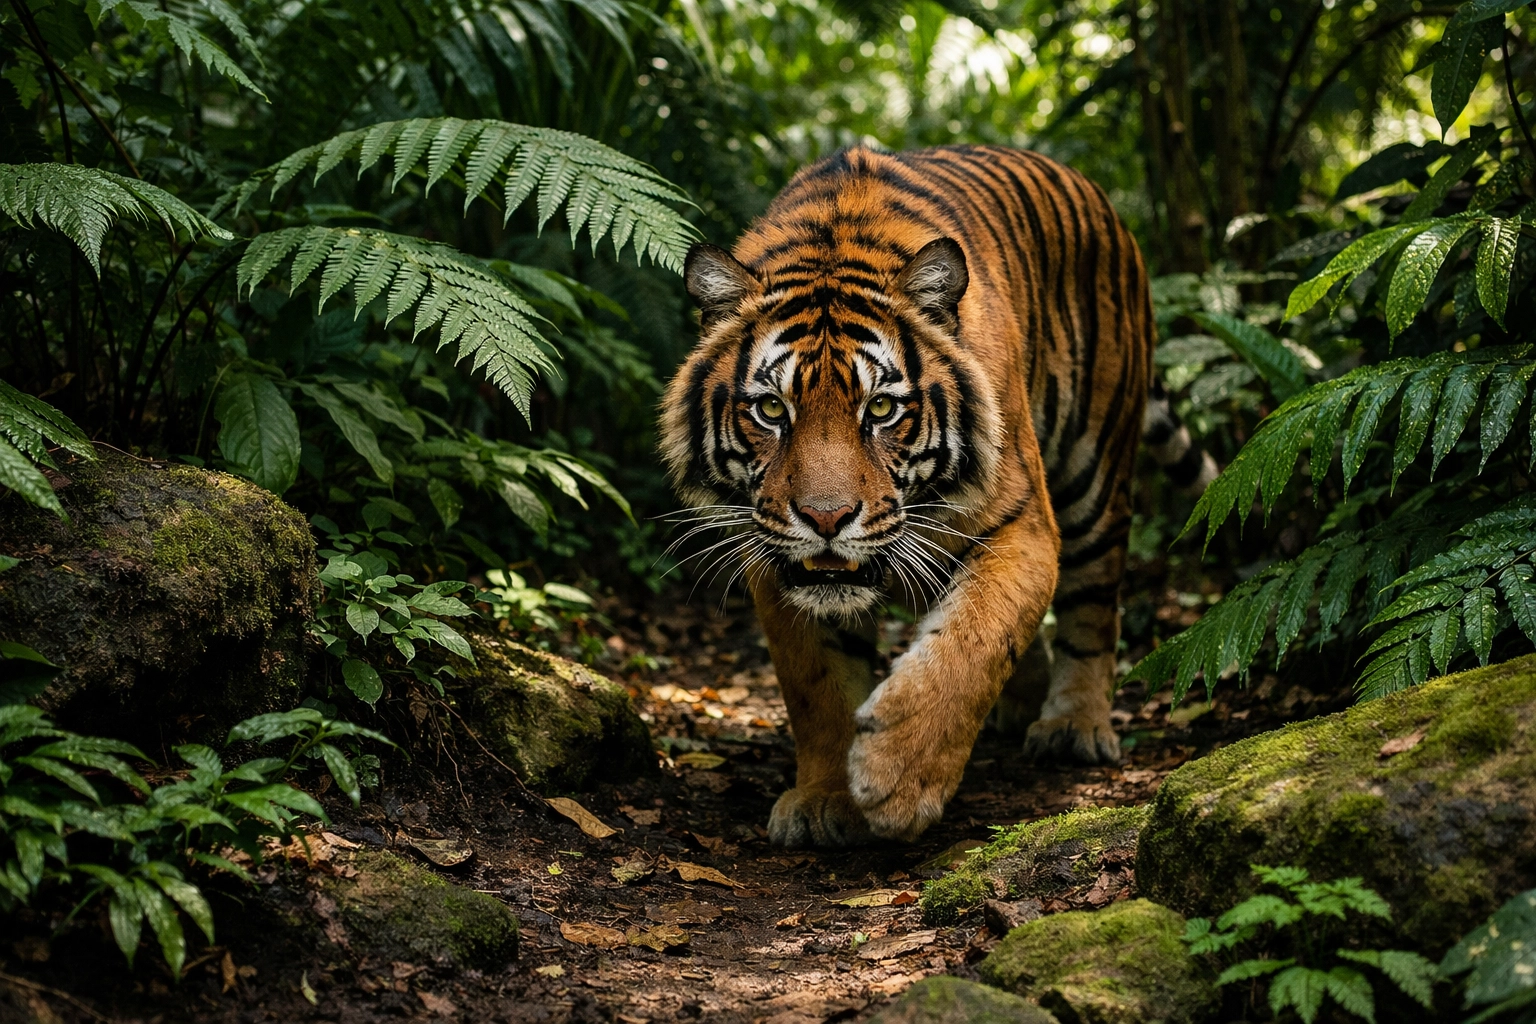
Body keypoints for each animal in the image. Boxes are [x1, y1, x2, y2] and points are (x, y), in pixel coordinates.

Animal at [659, 144, 1209, 847]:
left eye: (882, 408)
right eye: (772, 409)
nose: (826, 519)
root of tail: (1099, 199)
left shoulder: (1022, 524)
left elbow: (974, 641)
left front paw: (898, 779)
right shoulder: (772, 555)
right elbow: (816, 683)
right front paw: (824, 798)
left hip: (1096, 467)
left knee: (1095, 602)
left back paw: (1073, 727)